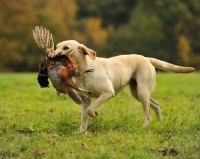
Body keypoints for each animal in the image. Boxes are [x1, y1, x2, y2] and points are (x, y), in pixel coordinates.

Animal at [50, 40, 195, 132]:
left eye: (66, 48)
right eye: (56, 47)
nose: (51, 55)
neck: (84, 71)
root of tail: (147, 58)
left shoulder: (107, 93)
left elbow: (91, 110)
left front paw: (95, 114)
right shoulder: (85, 100)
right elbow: (84, 116)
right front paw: (82, 131)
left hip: (142, 91)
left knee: (148, 114)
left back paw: (145, 126)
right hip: (137, 93)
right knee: (156, 104)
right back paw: (160, 122)